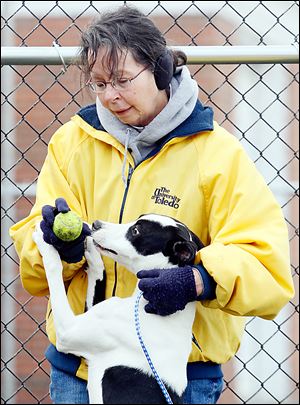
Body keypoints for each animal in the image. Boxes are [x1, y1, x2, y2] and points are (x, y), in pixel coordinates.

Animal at [33, 213, 204, 402]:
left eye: (136, 231)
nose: (96, 224)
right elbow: (98, 272)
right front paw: (88, 244)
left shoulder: (68, 331)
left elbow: (54, 267)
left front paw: (45, 242)